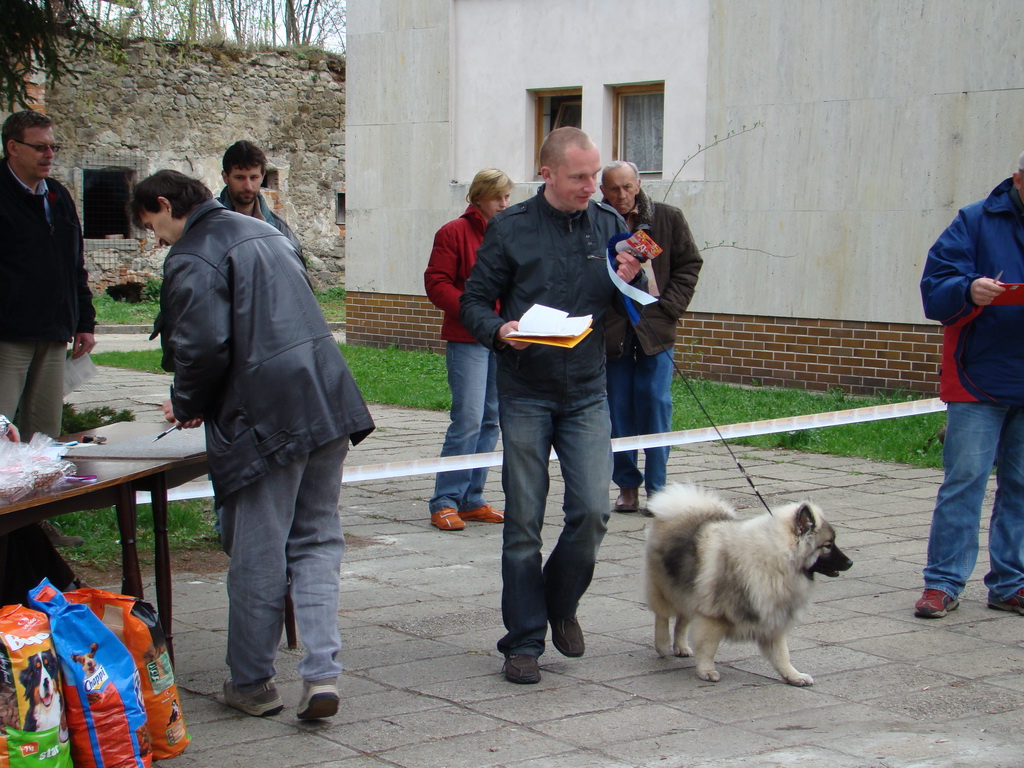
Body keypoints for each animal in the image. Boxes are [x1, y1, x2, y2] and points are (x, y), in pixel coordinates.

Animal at [643, 483, 851, 688]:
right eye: (828, 545)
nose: (850, 563)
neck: (774, 561)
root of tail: (682, 508)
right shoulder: (713, 616)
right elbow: (708, 647)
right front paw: (706, 671)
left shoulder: (771, 618)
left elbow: (781, 654)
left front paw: (793, 675)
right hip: (667, 588)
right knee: (662, 617)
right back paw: (663, 645)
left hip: (688, 590)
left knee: (682, 620)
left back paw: (681, 647)